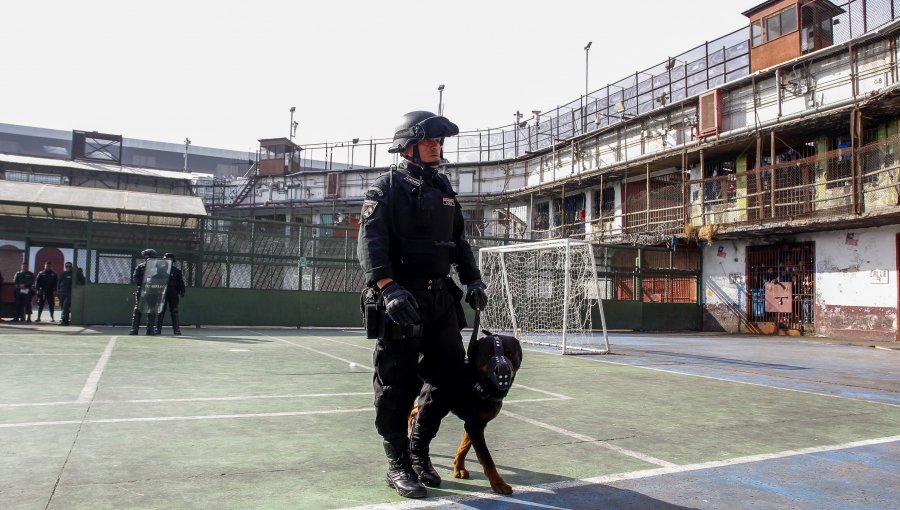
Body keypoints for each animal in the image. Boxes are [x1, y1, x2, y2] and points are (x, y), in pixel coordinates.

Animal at [412, 330, 524, 494]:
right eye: (489, 354)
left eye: (509, 353)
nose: (504, 370)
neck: (478, 382)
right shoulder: (474, 425)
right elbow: (486, 458)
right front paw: (498, 483)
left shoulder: (476, 423)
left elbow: (464, 446)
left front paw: (459, 468)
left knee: (414, 412)